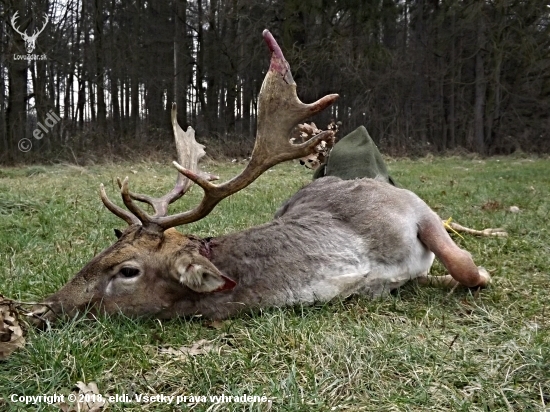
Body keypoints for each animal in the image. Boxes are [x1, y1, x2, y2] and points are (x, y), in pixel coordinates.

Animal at [31, 29, 492, 326]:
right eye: (100, 251)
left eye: (127, 271)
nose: (46, 306)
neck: (361, 258)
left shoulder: (411, 206)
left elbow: (466, 268)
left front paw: (481, 271)